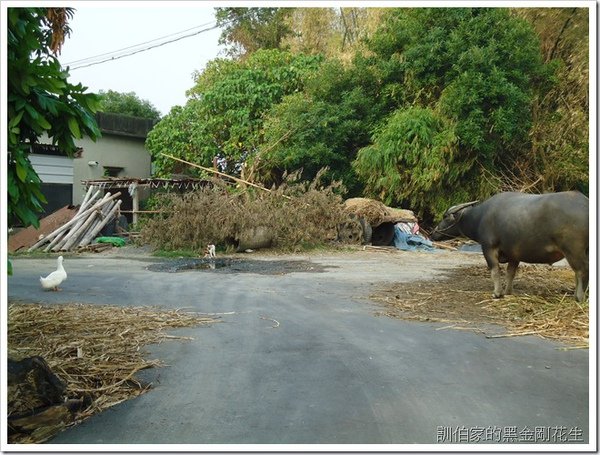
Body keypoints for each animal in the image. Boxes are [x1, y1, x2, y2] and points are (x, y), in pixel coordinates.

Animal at [432, 192, 592, 302]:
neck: (480, 217)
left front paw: (497, 293)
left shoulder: (488, 248)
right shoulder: (514, 254)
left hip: (573, 250)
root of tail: (585, 204)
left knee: (582, 270)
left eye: (445, 217)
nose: (433, 233)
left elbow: (495, 271)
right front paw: (508, 291)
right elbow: (511, 273)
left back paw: (579, 297)